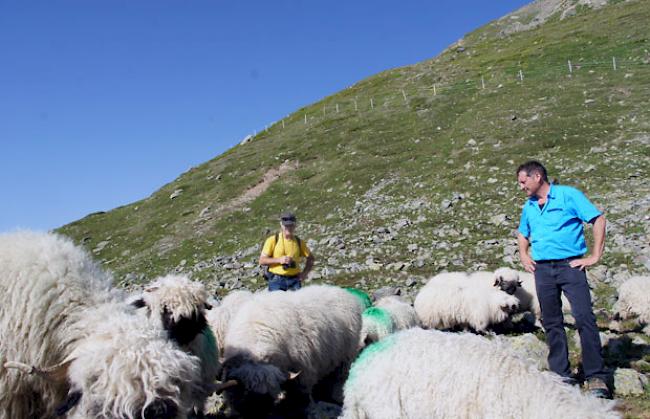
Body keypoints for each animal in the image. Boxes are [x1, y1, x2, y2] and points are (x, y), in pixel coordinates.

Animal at [219, 284, 362, 418]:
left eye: (269, 395)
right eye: (247, 393)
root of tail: (342, 291)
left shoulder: (304, 373)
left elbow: (302, 396)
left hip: (347, 356)